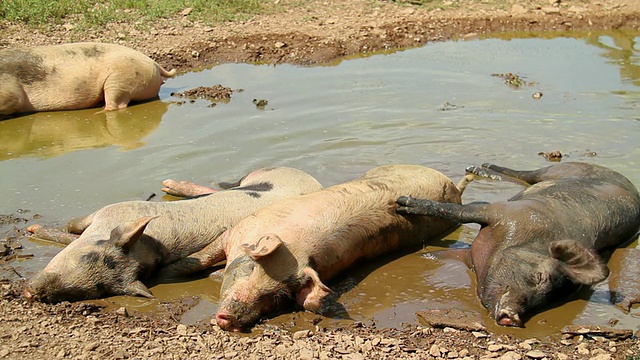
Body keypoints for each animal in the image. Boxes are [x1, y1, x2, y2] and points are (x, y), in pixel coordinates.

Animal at [22, 167, 322, 302]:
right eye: (88, 258)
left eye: (99, 289)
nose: (30, 291)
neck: (150, 246)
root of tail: (313, 181)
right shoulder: (109, 212)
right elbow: (73, 227)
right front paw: (33, 229)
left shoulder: (111, 212)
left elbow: (71, 228)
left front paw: (33, 230)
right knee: (218, 188)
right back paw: (168, 185)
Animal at [158, 164, 472, 332]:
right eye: (251, 267)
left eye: (279, 296)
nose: (230, 320)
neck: (297, 245)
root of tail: (454, 188)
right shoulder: (237, 230)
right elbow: (199, 258)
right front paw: (165, 274)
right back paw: (167, 185)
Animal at [396, 162, 640, 328]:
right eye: (541, 277)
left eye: (549, 299)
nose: (512, 317)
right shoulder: (501, 211)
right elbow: (457, 210)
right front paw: (402, 204)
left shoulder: (469, 255)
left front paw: (423, 256)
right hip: (558, 169)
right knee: (525, 174)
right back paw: (479, 167)